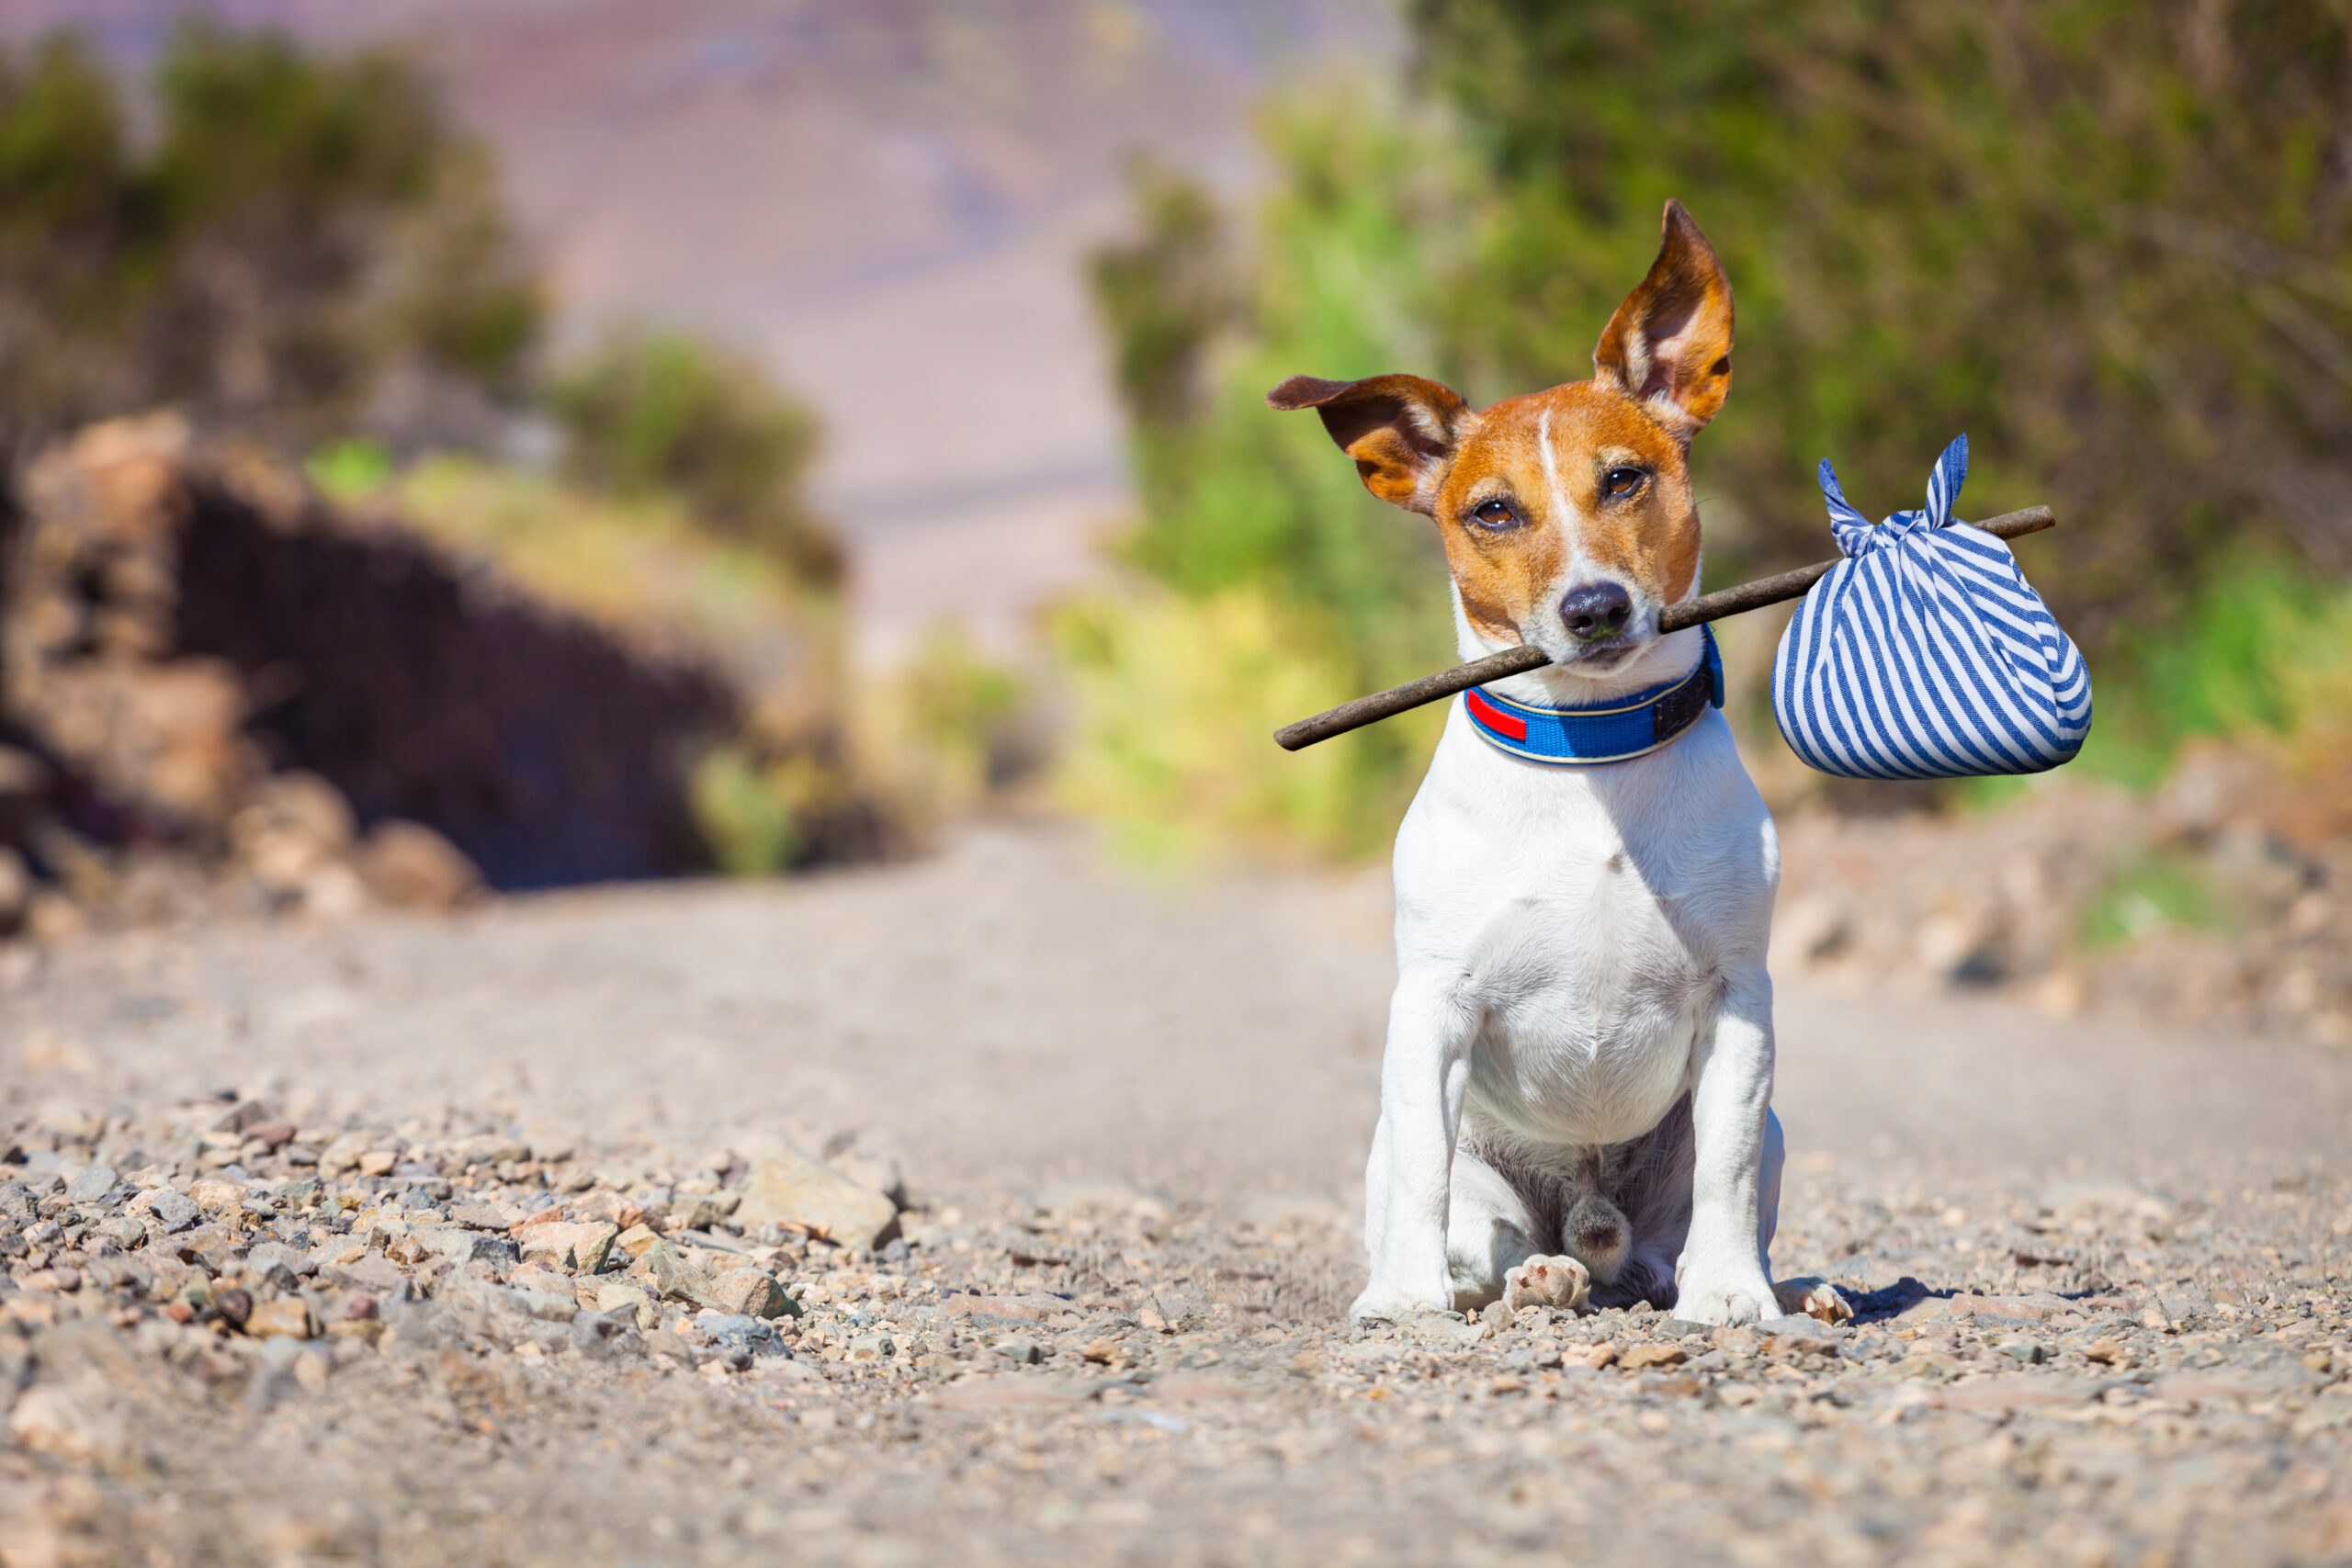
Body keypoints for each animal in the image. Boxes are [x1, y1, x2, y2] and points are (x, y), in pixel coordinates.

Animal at [1270, 196, 1815, 1325]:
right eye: (1493, 511)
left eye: (1624, 478)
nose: (1593, 606)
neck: (1593, 754)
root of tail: (1593, 1228)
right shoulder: (1430, 1008)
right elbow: (1427, 1175)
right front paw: (1402, 1302)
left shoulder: (1740, 1000)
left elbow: (1730, 1163)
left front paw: (1734, 1296)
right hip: (1437, 1162)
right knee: (1484, 1234)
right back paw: (1533, 1275)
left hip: (1739, 1146)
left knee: (1677, 1234)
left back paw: (1759, 1282)